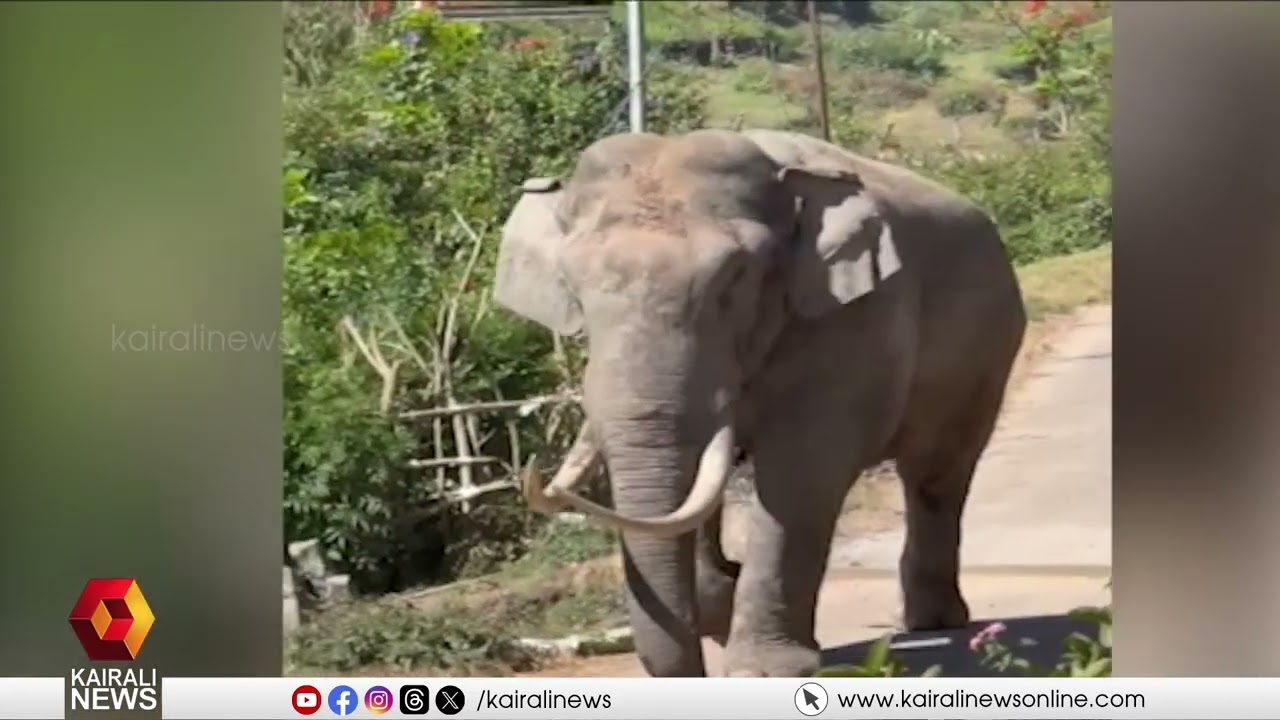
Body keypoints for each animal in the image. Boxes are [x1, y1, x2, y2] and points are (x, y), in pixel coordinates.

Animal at [493, 128, 1027, 678]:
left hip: (991, 346)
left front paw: (765, 670)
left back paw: (934, 621)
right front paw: (719, 607)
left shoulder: (853, 318)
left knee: (937, 474)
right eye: (571, 286)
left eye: (733, 279)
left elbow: (800, 473)